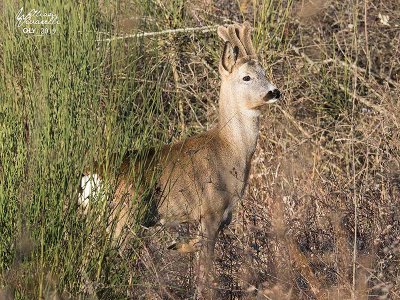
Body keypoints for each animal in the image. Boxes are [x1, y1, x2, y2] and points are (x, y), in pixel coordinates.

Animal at [80, 21, 282, 298]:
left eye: (264, 71)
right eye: (247, 77)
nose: (275, 92)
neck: (230, 151)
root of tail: (91, 176)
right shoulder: (210, 212)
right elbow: (204, 271)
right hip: (120, 218)